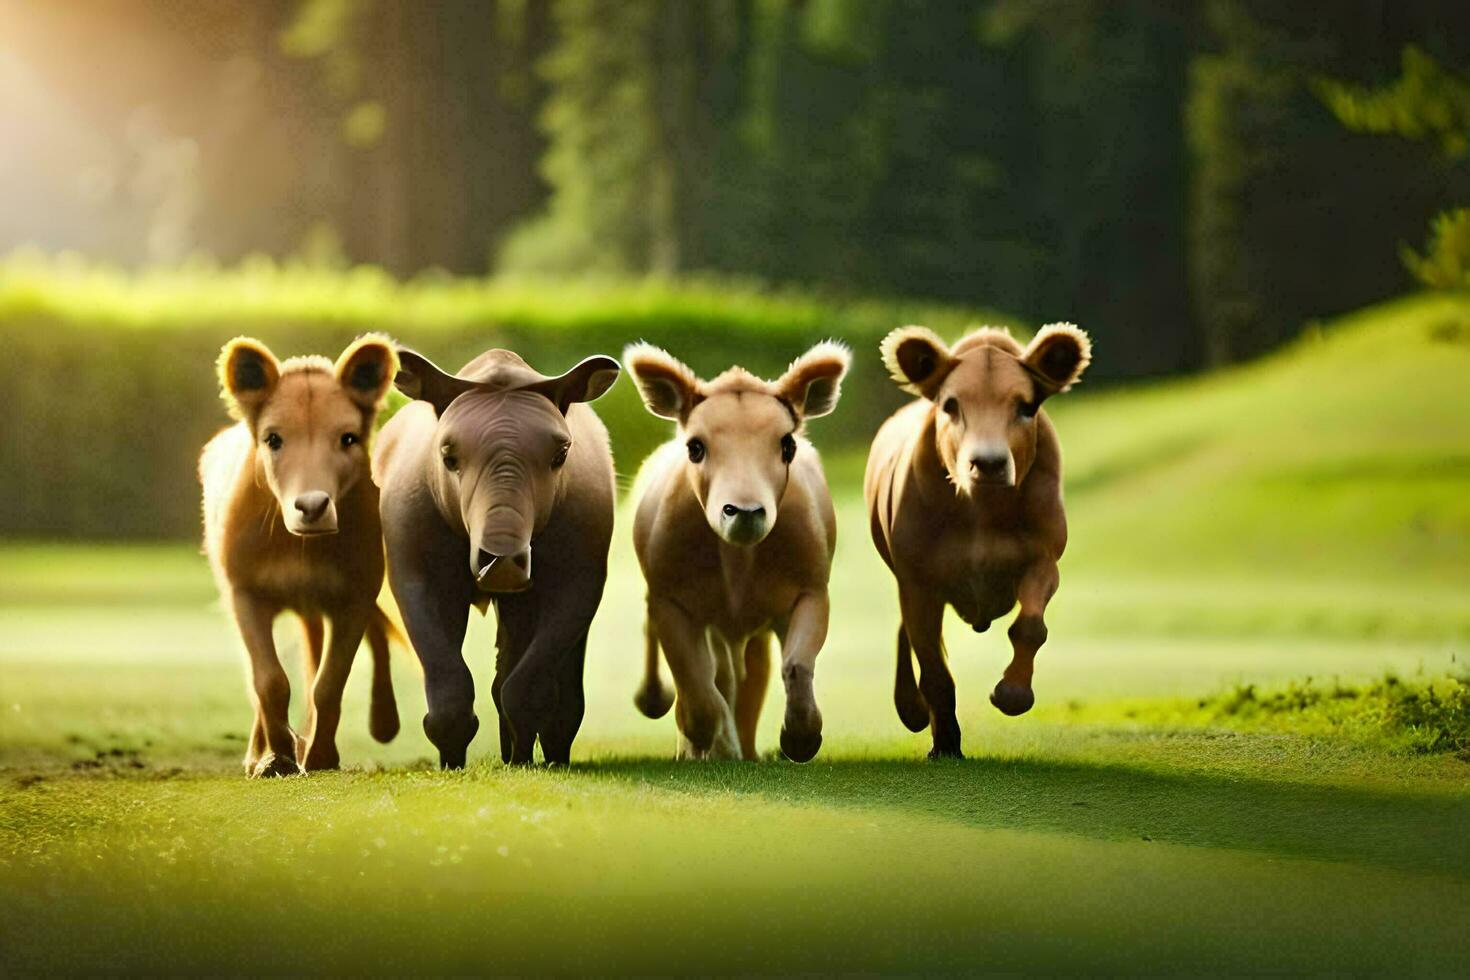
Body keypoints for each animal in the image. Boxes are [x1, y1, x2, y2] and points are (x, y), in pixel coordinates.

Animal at [201, 337, 399, 781]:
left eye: (347, 438)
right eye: (273, 439)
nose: (311, 506)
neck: (299, 546)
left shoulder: (355, 594)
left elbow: (328, 682)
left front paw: (322, 756)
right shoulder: (244, 592)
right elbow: (268, 680)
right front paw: (277, 758)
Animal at [623, 340, 852, 764]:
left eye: (787, 444)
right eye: (695, 447)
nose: (744, 511)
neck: (738, 559)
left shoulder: (811, 590)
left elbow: (796, 664)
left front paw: (799, 738)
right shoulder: (670, 601)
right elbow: (698, 687)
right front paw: (703, 740)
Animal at [864, 321, 1087, 758]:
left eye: (1026, 406)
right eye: (951, 405)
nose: (988, 463)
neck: (982, 510)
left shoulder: (1044, 558)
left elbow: (1030, 626)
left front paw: (1013, 692)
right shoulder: (917, 578)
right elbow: (932, 664)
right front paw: (946, 743)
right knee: (908, 633)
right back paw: (912, 709)